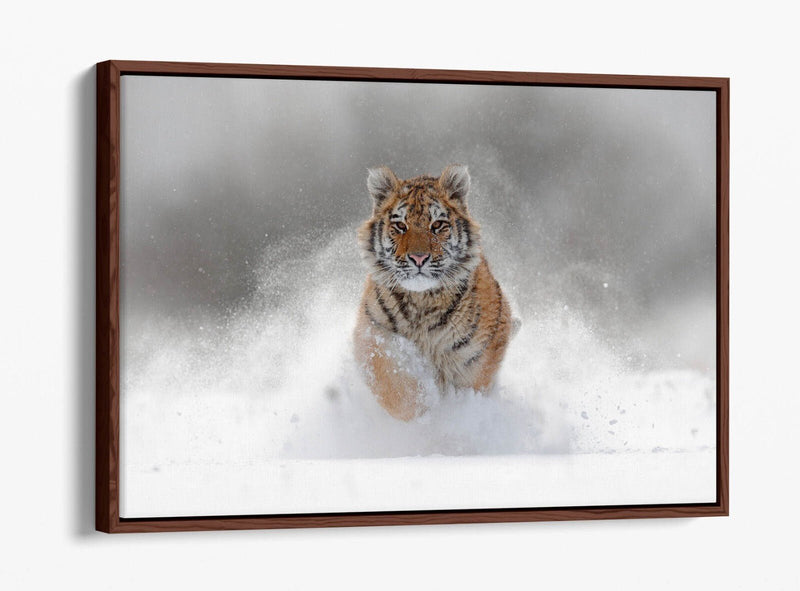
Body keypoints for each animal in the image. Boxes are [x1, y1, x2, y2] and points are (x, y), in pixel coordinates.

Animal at [353, 164, 516, 421]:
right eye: (400, 226)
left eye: (437, 225)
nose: (418, 258)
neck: (422, 302)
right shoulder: (373, 334)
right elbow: (396, 388)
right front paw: (424, 412)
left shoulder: (478, 355)